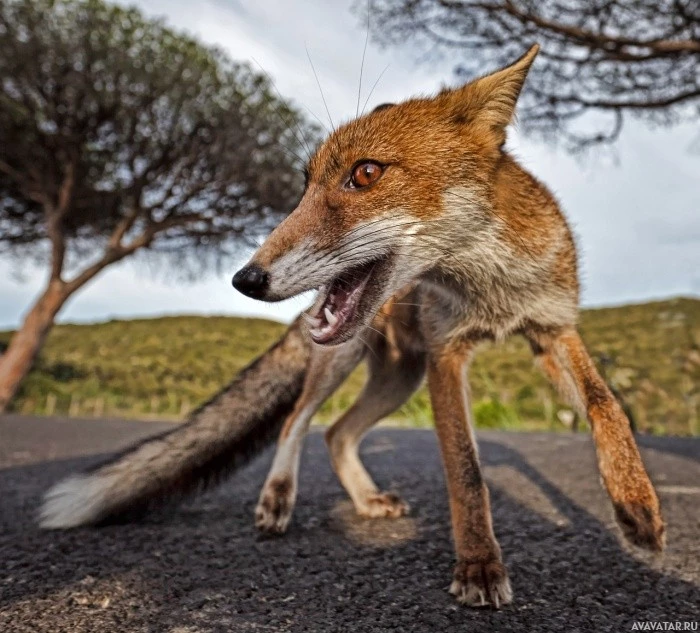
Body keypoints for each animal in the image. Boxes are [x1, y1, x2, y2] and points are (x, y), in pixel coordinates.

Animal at [39, 44, 668, 608]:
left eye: (365, 173)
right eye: (306, 184)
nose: (245, 278)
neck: (492, 290)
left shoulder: (551, 330)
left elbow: (606, 405)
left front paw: (636, 505)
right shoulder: (447, 355)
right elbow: (466, 472)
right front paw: (479, 566)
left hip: (400, 378)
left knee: (338, 433)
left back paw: (365, 502)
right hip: (344, 361)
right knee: (298, 420)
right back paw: (277, 498)